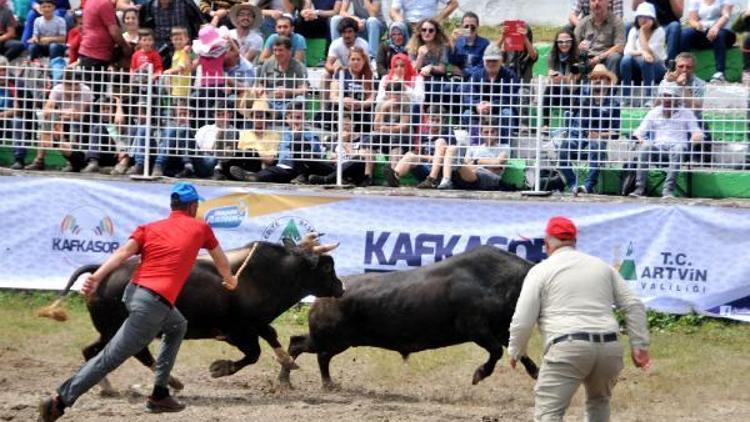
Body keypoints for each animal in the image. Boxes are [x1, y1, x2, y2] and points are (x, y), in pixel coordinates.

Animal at [55, 241, 344, 392]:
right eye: (327, 268)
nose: (340, 287)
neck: (265, 275)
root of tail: (102, 271)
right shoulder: (240, 331)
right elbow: (255, 351)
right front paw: (221, 368)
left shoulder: (250, 326)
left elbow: (268, 337)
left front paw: (286, 361)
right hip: (125, 329)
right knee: (135, 353)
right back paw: (170, 381)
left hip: (108, 330)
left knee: (92, 350)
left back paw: (106, 387)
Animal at [280, 244, 540, 390]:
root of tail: (322, 297)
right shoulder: (477, 329)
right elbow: (496, 352)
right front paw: (479, 374)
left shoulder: (503, 330)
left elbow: (519, 352)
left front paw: (536, 373)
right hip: (332, 339)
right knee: (302, 347)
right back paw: (296, 381)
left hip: (333, 340)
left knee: (308, 349)